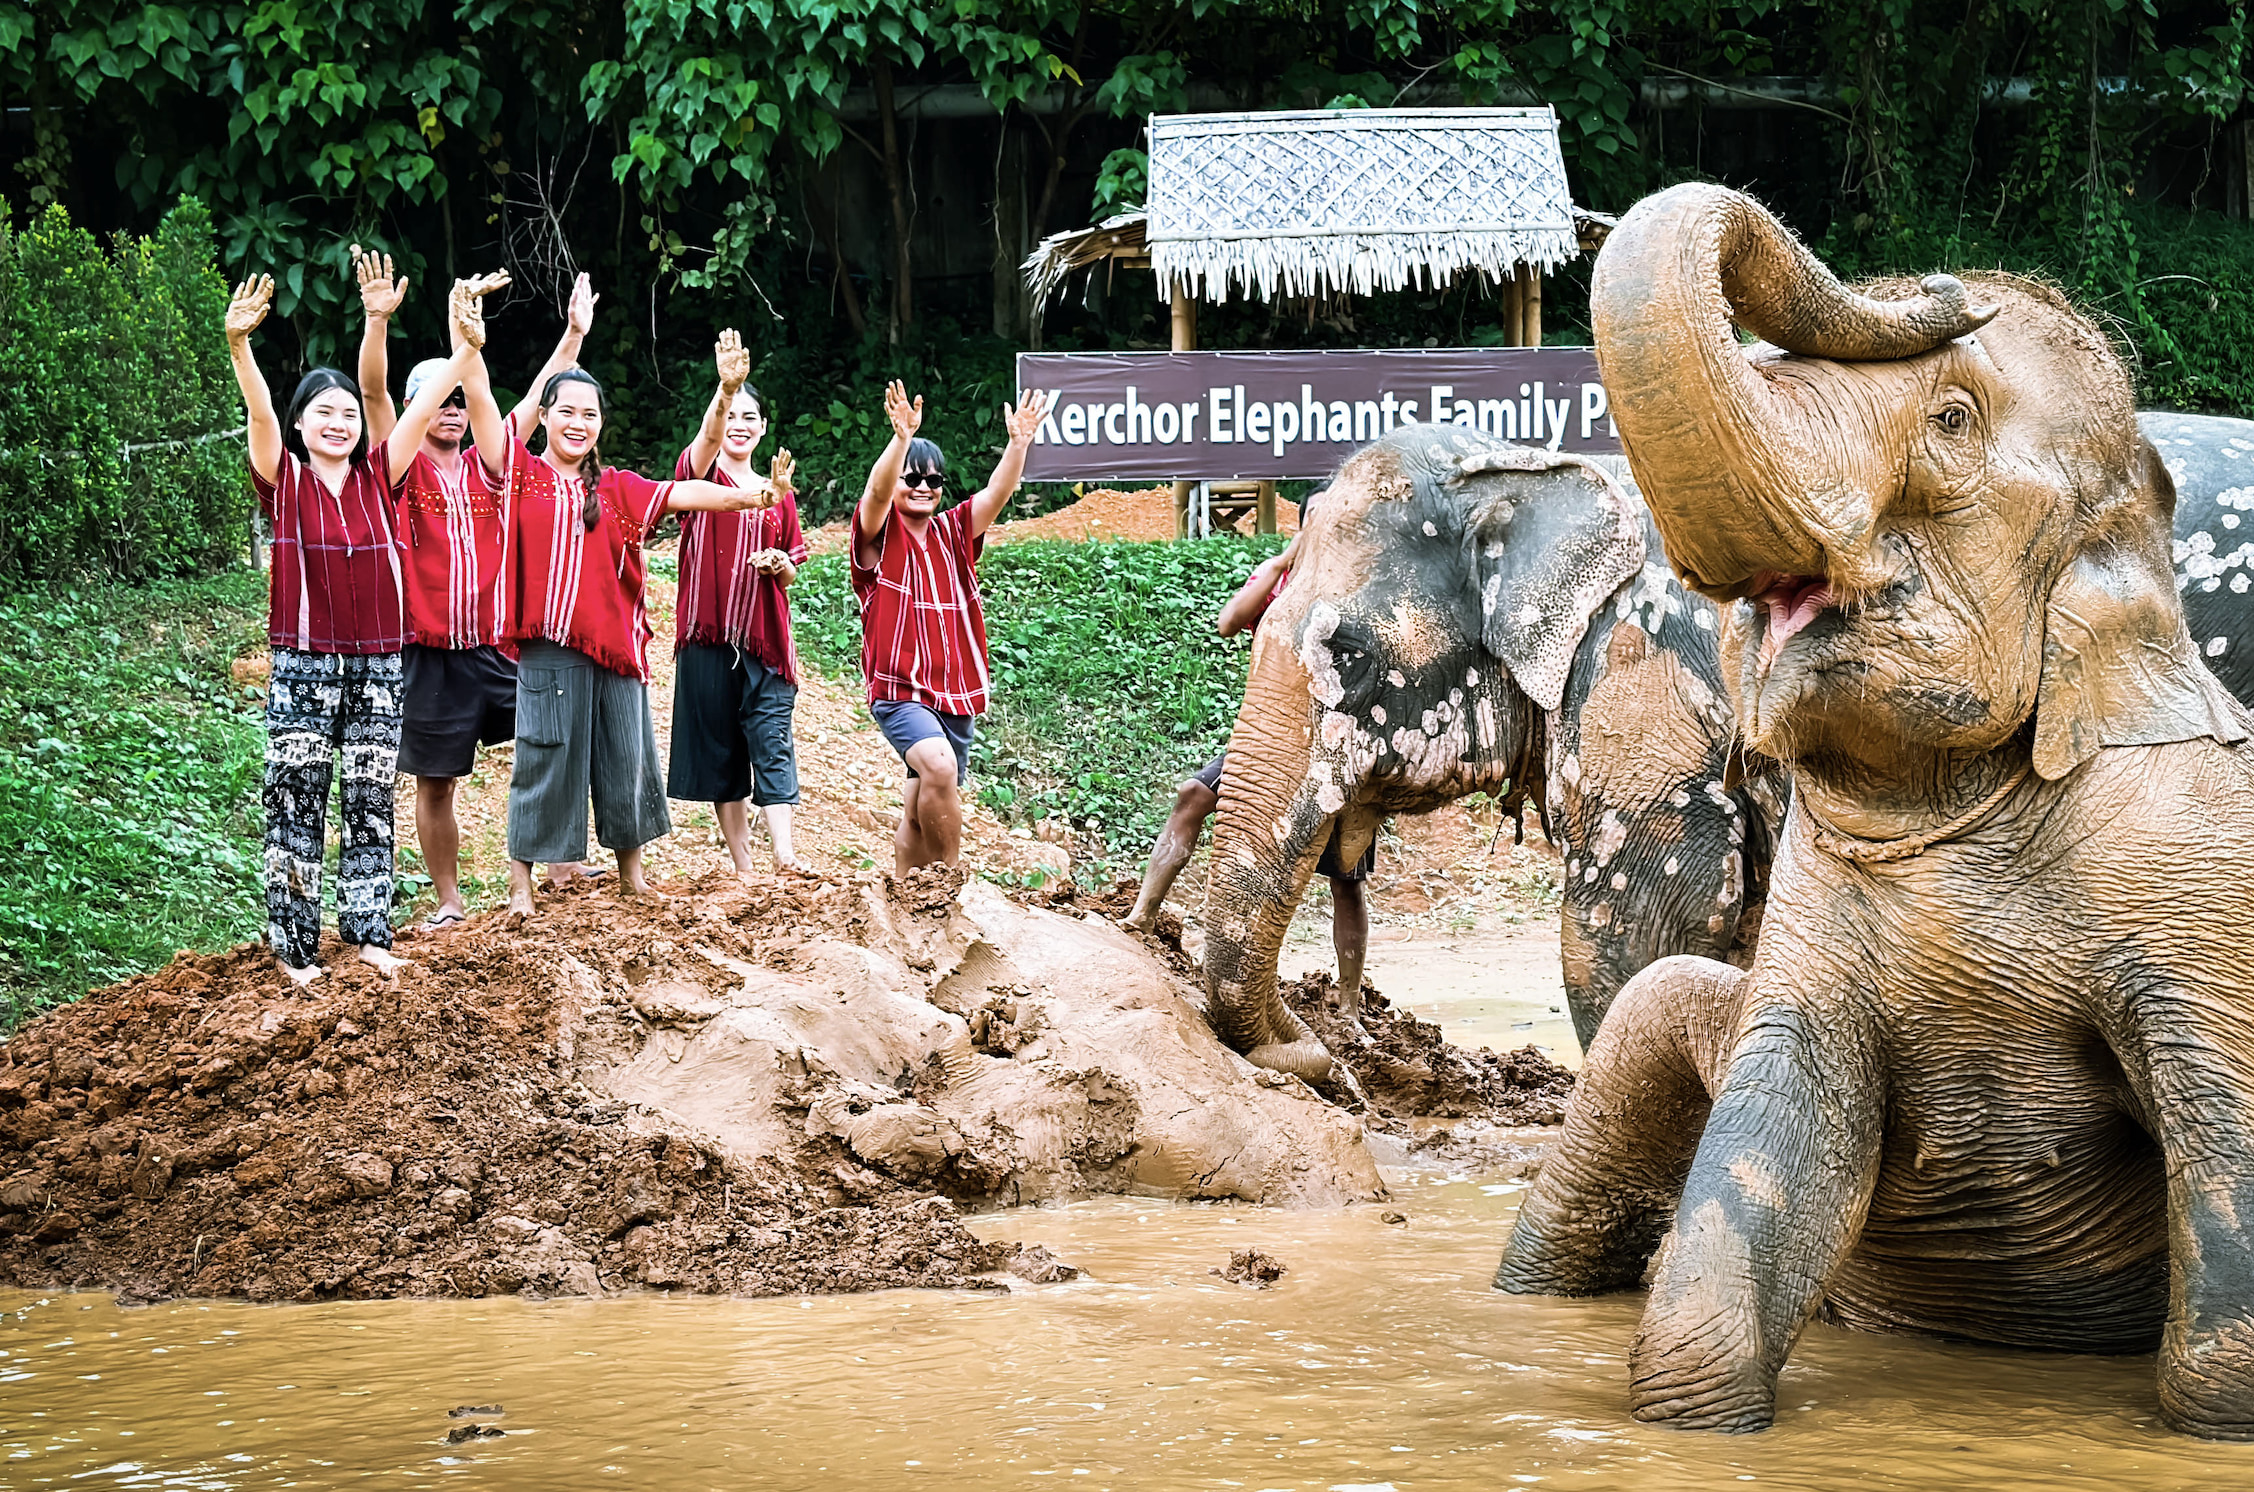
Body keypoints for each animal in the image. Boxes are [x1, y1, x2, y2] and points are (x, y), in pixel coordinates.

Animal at [1496, 181, 2254, 1442]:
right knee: (1649, 1023)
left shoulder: (2198, 894)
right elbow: (1776, 1145)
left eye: (1949, 418)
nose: (1956, 281)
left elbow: (2223, 1309)